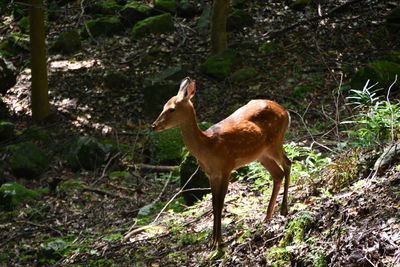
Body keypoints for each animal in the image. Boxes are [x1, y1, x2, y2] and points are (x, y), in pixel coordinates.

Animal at [152, 78, 292, 249]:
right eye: (163, 106)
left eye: (171, 109)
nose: (154, 125)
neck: (208, 146)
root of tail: (286, 112)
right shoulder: (210, 173)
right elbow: (213, 203)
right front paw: (213, 240)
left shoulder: (226, 167)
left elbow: (220, 202)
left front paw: (218, 240)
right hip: (261, 154)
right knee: (278, 174)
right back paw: (267, 217)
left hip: (275, 142)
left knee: (287, 163)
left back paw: (283, 209)